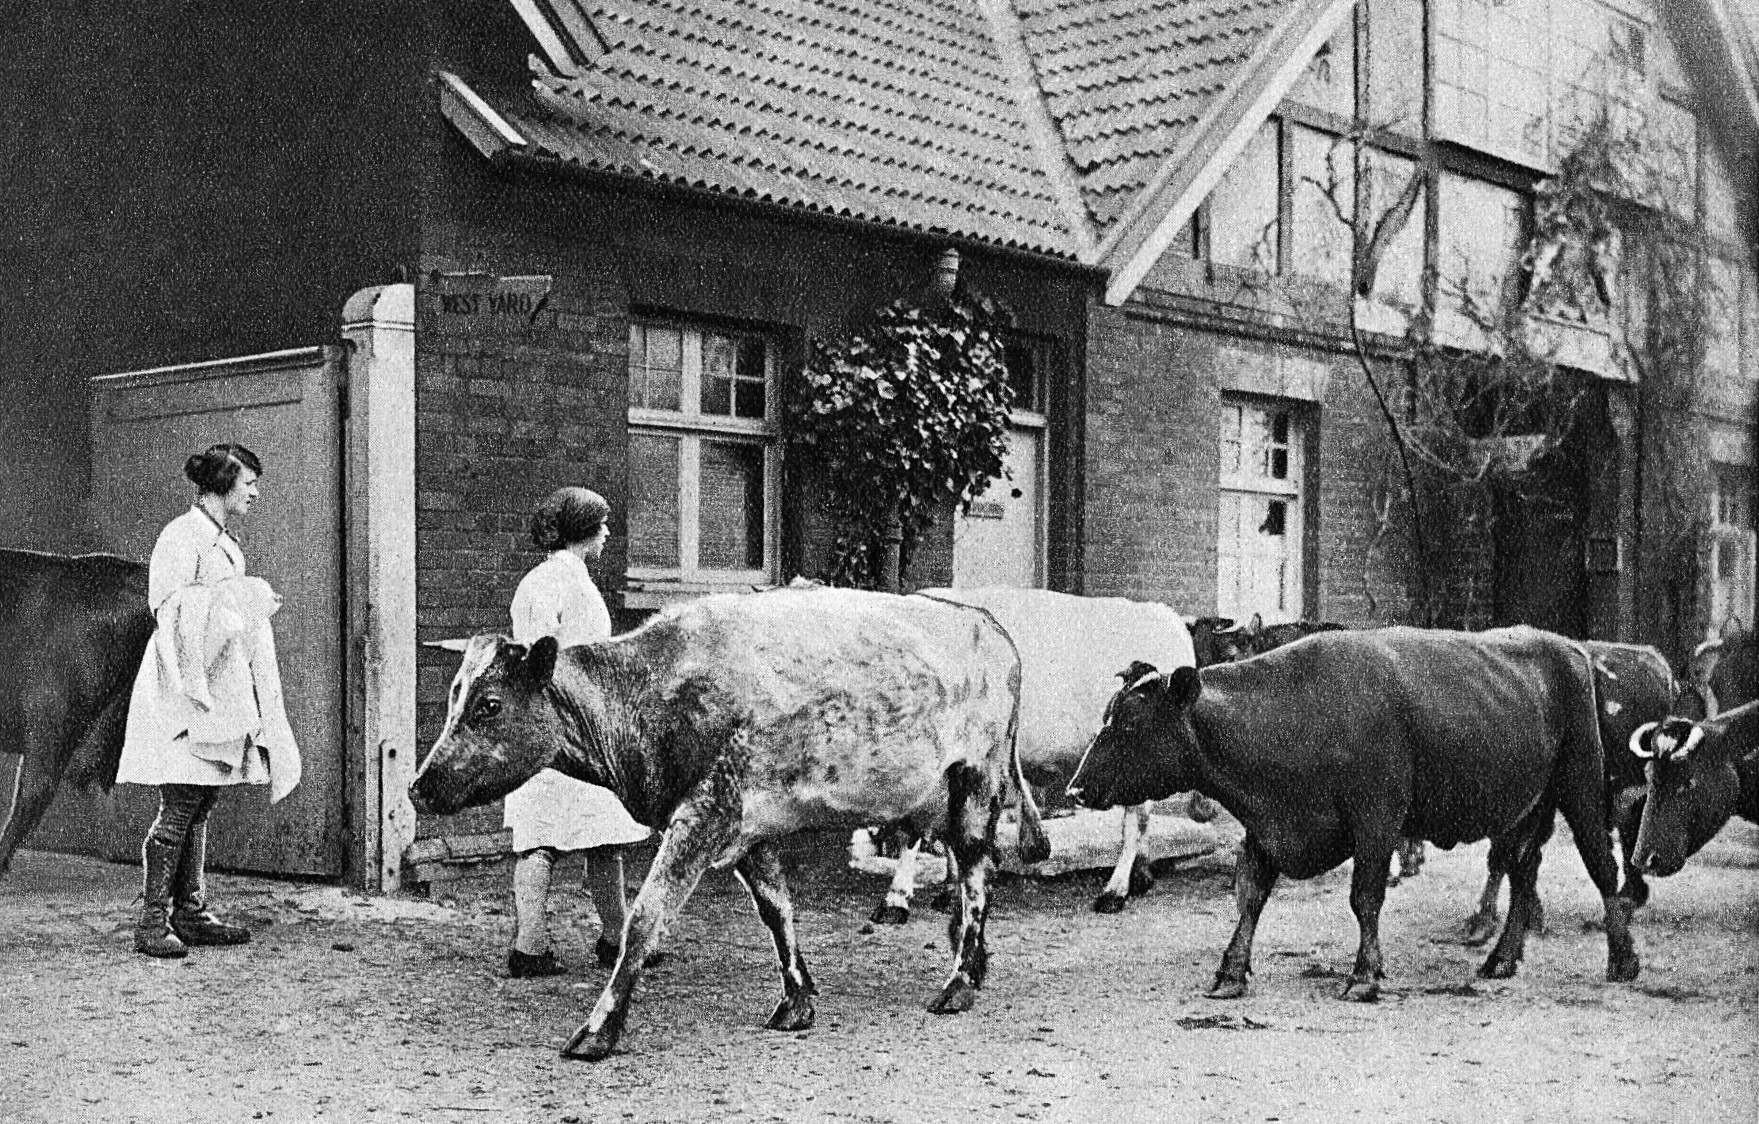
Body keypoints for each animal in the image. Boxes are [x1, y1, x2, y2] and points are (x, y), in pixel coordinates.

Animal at [411, 586, 1049, 1060]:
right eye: (454, 696)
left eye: (489, 704)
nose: (417, 787)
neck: (649, 693)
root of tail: (985, 621)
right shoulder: (749, 830)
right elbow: (777, 910)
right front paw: (796, 1001)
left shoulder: (705, 816)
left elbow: (646, 918)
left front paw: (597, 1029)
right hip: (938, 798)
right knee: (968, 871)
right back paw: (972, 963)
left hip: (974, 782)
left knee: (976, 876)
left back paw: (959, 982)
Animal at [862, 587, 1199, 920]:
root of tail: (1163, 615)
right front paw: (949, 890)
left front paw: (895, 900)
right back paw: (1141, 877)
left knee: (1135, 823)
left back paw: (1114, 892)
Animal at [1066, 626, 1641, 1000]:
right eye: (1107, 717)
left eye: (1129, 725)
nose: (1075, 787)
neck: (1299, 713)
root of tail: (1565, 646)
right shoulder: (1266, 826)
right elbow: (1249, 896)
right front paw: (1230, 972)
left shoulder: (1377, 820)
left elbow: (1365, 898)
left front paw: (1364, 974)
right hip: (1526, 806)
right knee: (1523, 870)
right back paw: (1501, 958)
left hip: (1581, 785)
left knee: (1602, 866)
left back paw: (1623, 959)